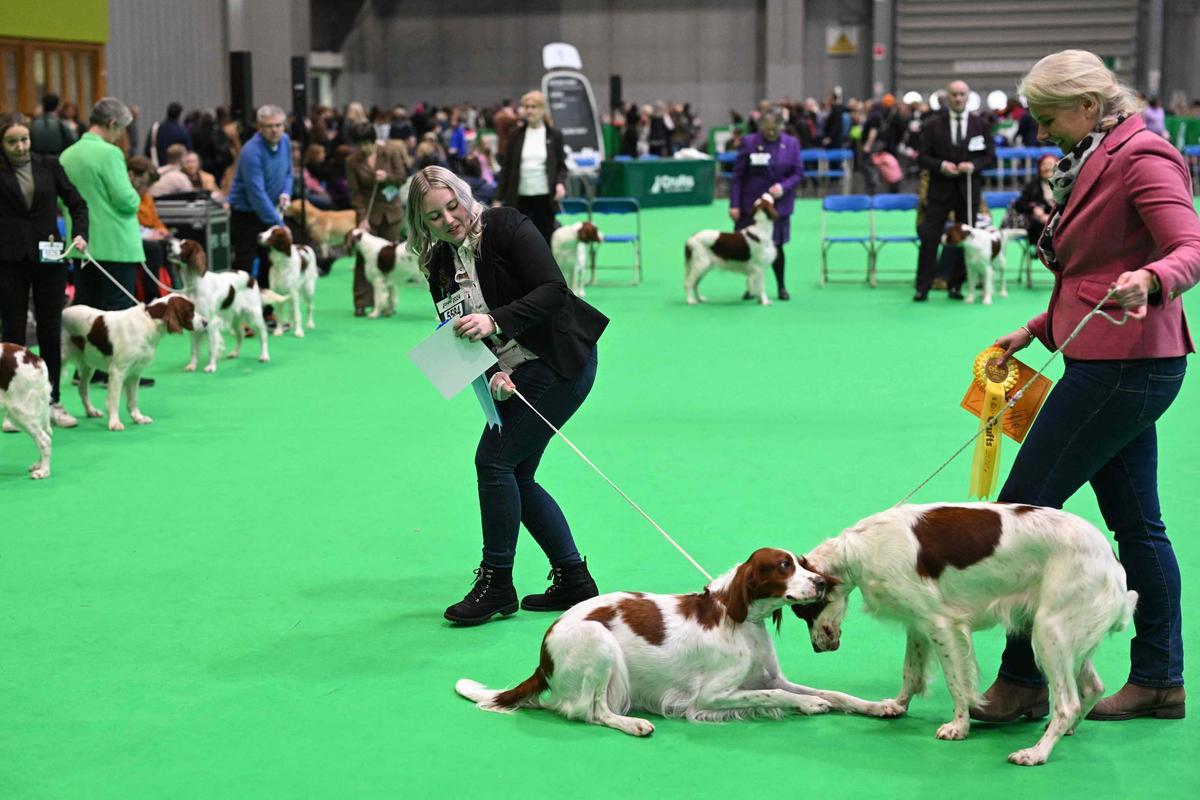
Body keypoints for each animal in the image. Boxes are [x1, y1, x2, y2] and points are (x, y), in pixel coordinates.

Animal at [61, 293, 206, 431]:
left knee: (82, 388)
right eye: (190, 310)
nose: (205, 322)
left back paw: (91, 411)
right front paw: (114, 422)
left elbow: (132, 399)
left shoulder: (135, 372)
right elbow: (114, 400)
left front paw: (138, 418)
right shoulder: (118, 371)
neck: (150, 321)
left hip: (87, 365)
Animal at [171, 239, 285, 374]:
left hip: (253, 315)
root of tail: (252, 278)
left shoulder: (210, 323)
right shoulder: (194, 321)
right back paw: (234, 353)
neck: (195, 283)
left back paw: (264, 356)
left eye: (184, 245)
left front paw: (211, 366)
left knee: (263, 335)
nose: (168, 244)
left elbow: (211, 348)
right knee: (240, 335)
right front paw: (192, 365)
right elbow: (193, 348)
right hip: (235, 318)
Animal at [453, 551, 897, 738]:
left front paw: (878, 706)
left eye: (802, 563)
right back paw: (633, 724)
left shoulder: (768, 678)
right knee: (590, 711)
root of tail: (543, 655)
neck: (739, 618)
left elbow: (832, 693)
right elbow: (782, 696)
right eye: (785, 566)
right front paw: (808, 705)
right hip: (599, 642)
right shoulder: (710, 697)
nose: (822, 582)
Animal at [792, 503, 1137, 767]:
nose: (817, 648)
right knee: (1093, 687)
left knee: (1068, 703)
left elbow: (956, 682)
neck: (860, 549)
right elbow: (910, 672)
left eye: (802, 610)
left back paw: (1035, 753)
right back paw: (1064, 732)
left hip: (1049, 631)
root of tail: (1112, 561)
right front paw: (895, 706)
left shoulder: (941, 623)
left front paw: (958, 726)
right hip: (1067, 634)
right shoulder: (917, 623)